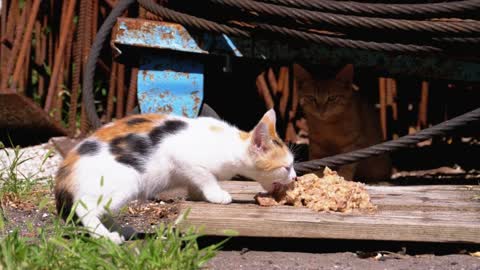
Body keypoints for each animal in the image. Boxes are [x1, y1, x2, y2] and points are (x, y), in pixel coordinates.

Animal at [56, 108, 296, 244]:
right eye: (287, 167)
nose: (294, 178)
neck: (230, 143)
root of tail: (66, 169)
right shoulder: (182, 157)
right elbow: (206, 176)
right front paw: (217, 195)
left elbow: (197, 182)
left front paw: (200, 195)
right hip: (127, 181)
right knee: (85, 208)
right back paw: (107, 237)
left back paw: (122, 229)